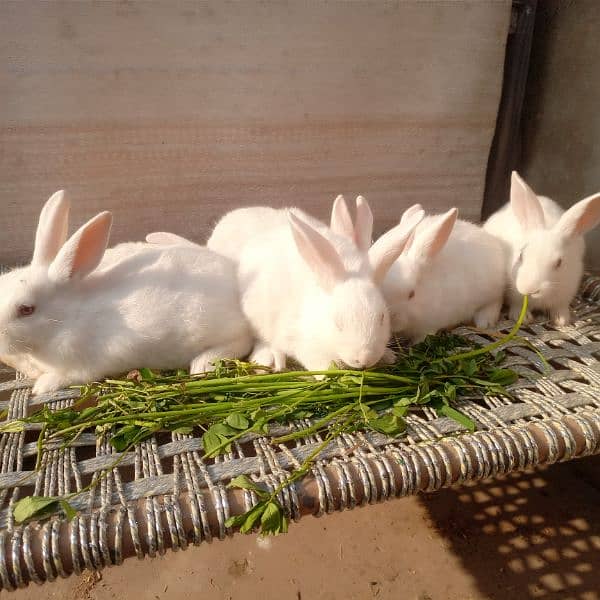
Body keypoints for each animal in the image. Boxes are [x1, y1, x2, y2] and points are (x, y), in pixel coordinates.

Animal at [0, 190, 252, 392]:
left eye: (26, 309)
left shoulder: (84, 366)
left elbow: (66, 377)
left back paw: (202, 363)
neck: (69, 318)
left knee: (242, 341)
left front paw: (41, 387)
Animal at [234, 202, 422, 370]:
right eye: (338, 323)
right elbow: (319, 364)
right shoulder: (305, 345)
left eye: (382, 318)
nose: (364, 359)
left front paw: (389, 357)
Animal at [380, 206, 506, 342]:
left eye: (411, 294)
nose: (391, 320)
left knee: (495, 302)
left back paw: (485, 322)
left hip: (491, 291)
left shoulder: (429, 325)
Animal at [482, 171, 600, 324]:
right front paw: (523, 318)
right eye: (521, 255)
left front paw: (561, 320)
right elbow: (517, 306)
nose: (529, 288)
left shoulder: (565, 294)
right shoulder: (515, 296)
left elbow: (560, 307)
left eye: (559, 263)